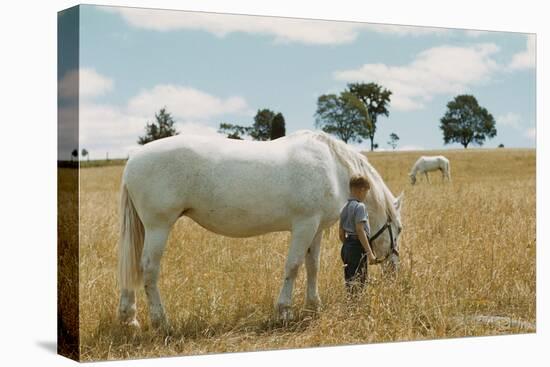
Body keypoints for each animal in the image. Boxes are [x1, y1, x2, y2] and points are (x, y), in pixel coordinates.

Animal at [118, 131, 406, 330]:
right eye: (399, 229)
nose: (395, 270)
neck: (333, 168)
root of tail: (133, 160)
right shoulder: (304, 225)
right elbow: (293, 266)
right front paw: (284, 311)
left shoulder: (316, 229)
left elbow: (312, 266)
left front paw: (314, 306)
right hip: (158, 226)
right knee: (148, 269)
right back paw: (161, 322)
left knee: (131, 268)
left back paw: (129, 319)